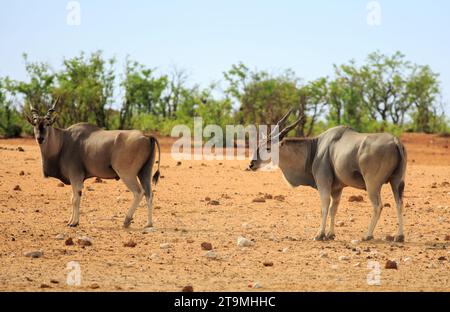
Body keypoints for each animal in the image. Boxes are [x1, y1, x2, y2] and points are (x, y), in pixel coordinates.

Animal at [25, 100, 160, 229]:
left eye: (47, 124)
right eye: (35, 124)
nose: (40, 138)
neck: (63, 141)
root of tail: (146, 135)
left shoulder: (76, 176)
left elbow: (75, 199)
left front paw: (73, 223)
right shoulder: (76, 179)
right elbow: (73, 197)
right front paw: (71, 221)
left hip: (127, 174)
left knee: (139, 192)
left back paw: (126, 221)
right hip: (144, 173)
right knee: (149, 194)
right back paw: (148, 224)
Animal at [250, 111, 408, 243]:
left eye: (268, 148)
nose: (251, 164)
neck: (314, 149)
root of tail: (396, 141)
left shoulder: (323, 182)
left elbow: (325, 207)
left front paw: (319, 234)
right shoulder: (337, 189)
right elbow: (334, 208)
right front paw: (330, 234)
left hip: (372, 184)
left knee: (378, 205)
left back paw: (367, 235)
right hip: (396, 182)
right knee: (399, 203)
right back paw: (399, 236)